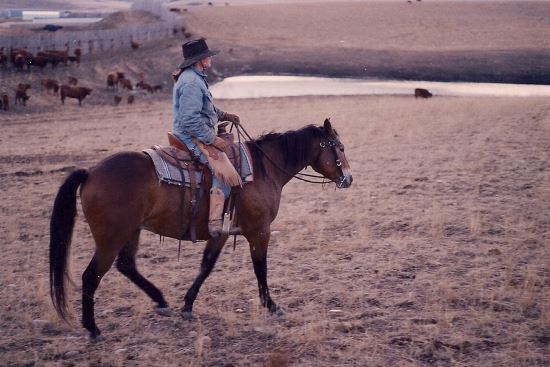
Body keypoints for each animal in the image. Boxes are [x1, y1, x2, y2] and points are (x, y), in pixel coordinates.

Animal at [50, 119, 354, 344]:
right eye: (339, 147)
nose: (349, 179)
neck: (264, 169)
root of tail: (90, 173)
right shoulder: (259, 231)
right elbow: (261, 269)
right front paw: (271, 305)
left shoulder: (221, 233)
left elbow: (206, 267)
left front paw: (187, 305)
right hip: (110, 240)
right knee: (91, 276)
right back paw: (93, 329)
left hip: (130, 232)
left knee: (126, 265)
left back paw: (160, 300)